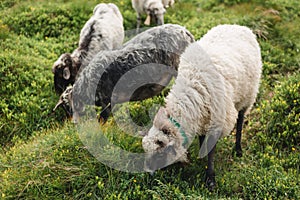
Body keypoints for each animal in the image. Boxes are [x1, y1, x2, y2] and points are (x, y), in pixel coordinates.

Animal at [142, 24, 262, 191]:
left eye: (159, 154)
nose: (149, 175)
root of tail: (239, 26)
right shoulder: (202, 117)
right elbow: (202, 138)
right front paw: (201, 153)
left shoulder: (217, 121)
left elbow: (211, 150)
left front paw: (210, 179)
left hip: (248, 94)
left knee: (240, 120)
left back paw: (238, 149)